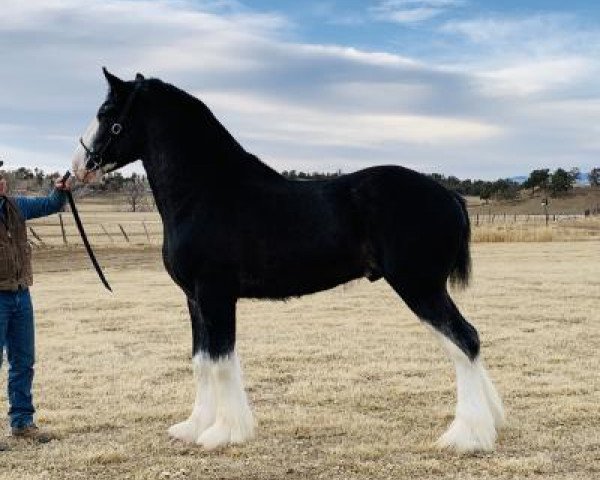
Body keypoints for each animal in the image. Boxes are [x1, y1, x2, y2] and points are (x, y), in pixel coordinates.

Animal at [72, 69, 504, 452]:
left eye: (107, 113)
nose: (78, 167)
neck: (207, 191)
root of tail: (449, 195)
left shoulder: (214, 294)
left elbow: (221, 361)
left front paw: (223, 434)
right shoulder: (194, 298)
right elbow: (201, 360)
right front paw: (193, 427)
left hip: (420, 287)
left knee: (464, 340)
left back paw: (466, 436)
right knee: (466, 342)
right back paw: (492, 422)